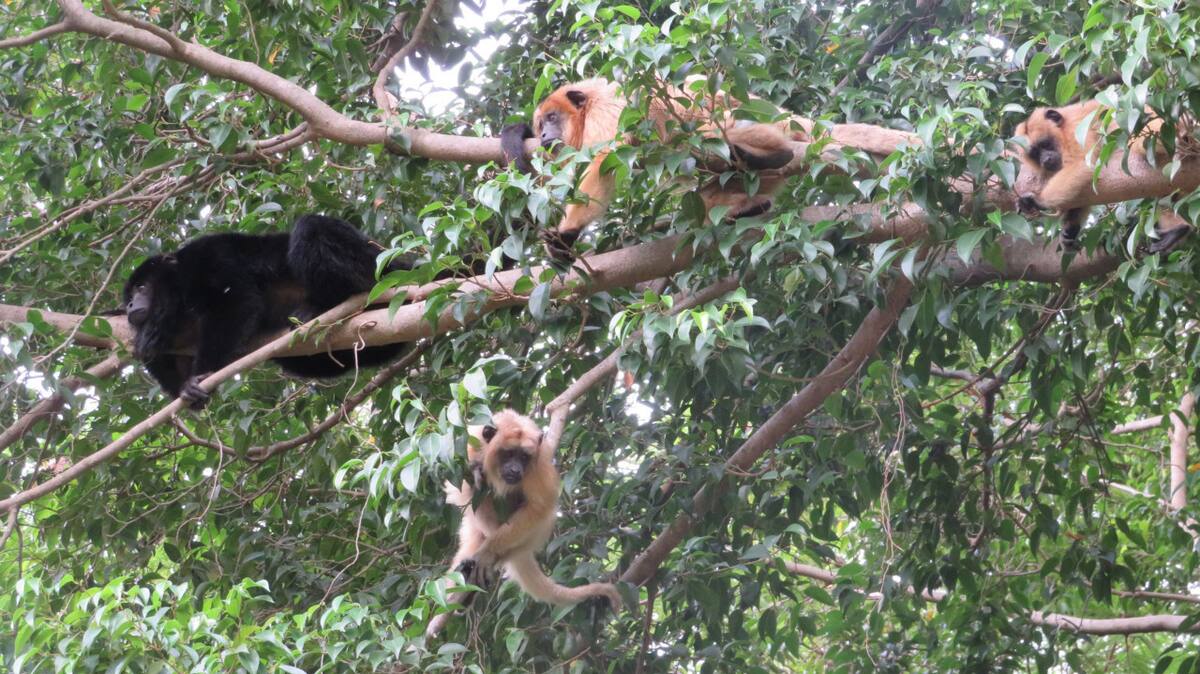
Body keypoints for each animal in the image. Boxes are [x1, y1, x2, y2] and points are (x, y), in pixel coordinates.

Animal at [425, 410, 621, 638]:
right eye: (509, 454)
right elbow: (460, 485)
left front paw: (488, 552)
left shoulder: (538, 465)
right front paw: (476, 471)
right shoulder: (464, 445)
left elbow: (539, 507)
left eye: (524, 457)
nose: (516, 469)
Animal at [501, 77, 807, 259]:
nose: (543, 135)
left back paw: (776, 154)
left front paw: (568, 232)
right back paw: (747, 206)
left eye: (553, 118)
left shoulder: (606, 109)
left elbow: (604, 160)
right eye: (541, 124)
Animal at [1014, 100, 1190, 252]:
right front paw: (1070, 229)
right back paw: (1178, 229)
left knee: (1142, 142)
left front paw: (1036, 202)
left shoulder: (1075, 131)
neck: (1063, 129)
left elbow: (1082, 166)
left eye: (1045, 144)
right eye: (1035, 154)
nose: (1045, 160)